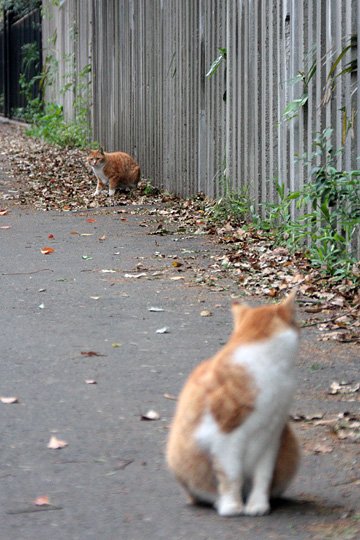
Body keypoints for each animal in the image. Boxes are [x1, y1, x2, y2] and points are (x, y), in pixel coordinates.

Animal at [167, 294, 300, 516]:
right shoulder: (225, 437)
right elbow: (231, 476)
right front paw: (232, 506)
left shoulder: (272, 435)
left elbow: (263, 476)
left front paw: (258, 505)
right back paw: (220, 502)